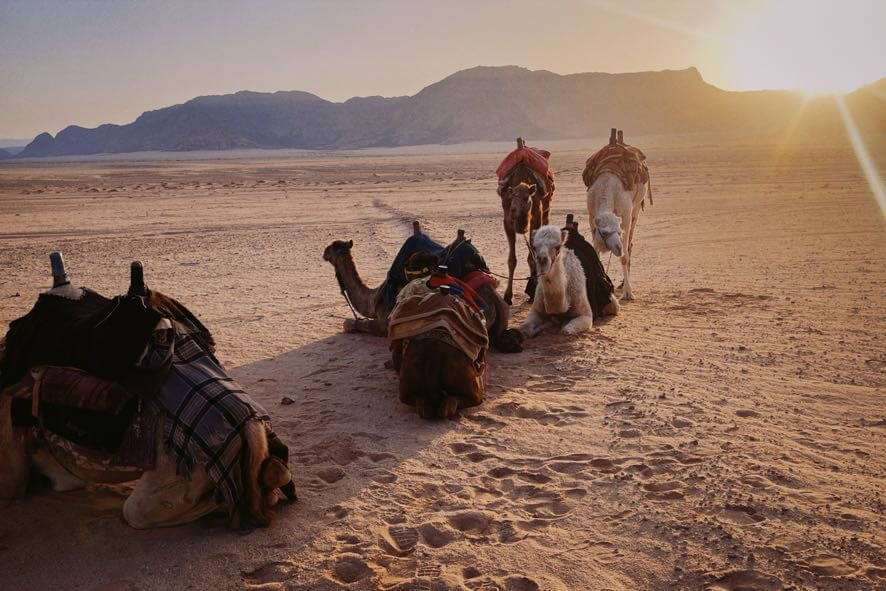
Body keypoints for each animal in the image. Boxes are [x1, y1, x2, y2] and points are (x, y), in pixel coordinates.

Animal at [496, 138, 560, 306]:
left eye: (527, 199)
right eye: (512, 200)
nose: (521, 224)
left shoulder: (536, 216)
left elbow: (532, 254)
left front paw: (532, 290)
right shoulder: (507, 221)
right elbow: (512, 260)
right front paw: (507, 296)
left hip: (546, 210)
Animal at [588, 129, 656, 300]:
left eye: (619, 231)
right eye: (604, 232)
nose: (617, 247)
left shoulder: (625, 214)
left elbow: (624, 257)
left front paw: (628, 292)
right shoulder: (591, 215)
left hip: (636, 207)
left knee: (630, 242)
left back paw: (624, 284)